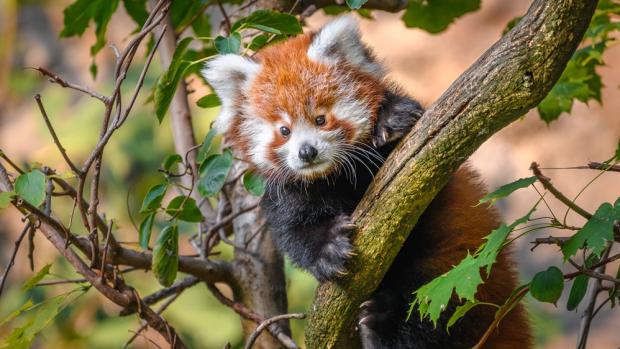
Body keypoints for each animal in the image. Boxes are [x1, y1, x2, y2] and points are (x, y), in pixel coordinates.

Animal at [205, 14, 532, 348]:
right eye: (284, 130)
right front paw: (327, 248)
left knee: (432, 309)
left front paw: (391, 118)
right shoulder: (288, 194)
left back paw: (382, 322)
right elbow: (295, 232)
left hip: (457, 270)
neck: (332, 178)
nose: (307, 152)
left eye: (321, 119)